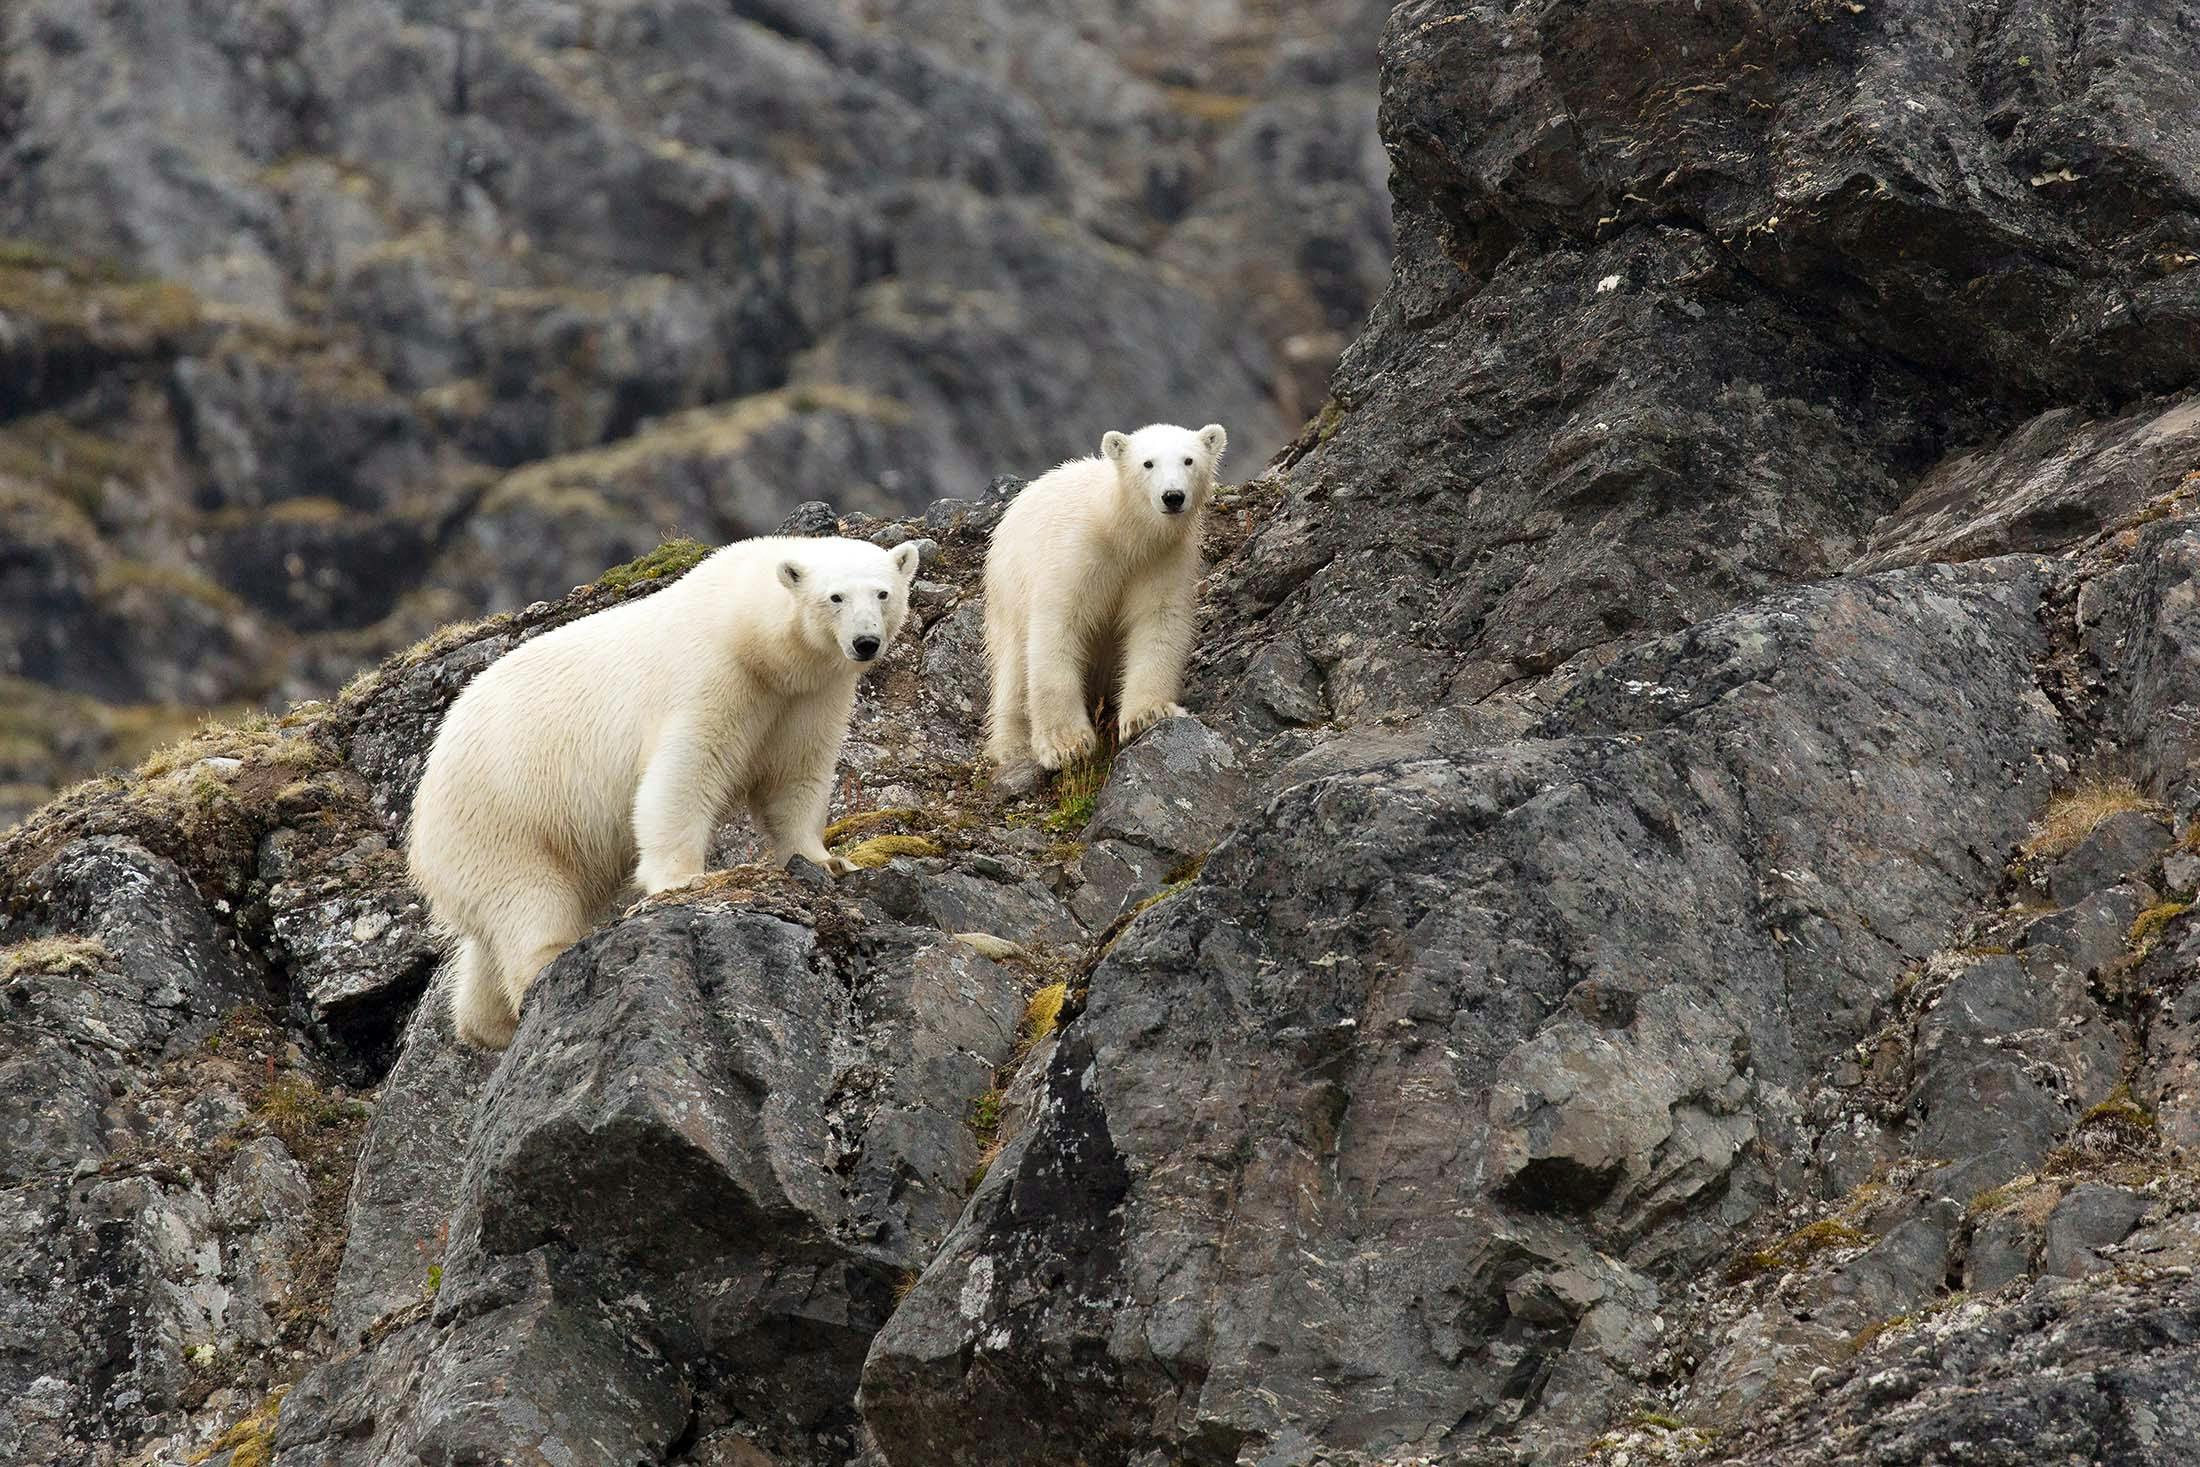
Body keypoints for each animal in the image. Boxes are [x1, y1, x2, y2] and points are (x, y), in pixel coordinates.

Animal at [409, 534, 915, 1051]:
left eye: (882, 593)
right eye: (835, 597)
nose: (866, 642)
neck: (749, 633)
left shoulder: (809, 697)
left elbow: (797, 776)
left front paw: (827, 860)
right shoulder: (712, 677)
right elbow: (685, 771)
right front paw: (684, 880)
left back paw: (483, 1023)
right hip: (503, 813)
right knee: (528, 898)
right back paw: (546, 966)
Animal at [990, 424, 1232, 791]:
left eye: (1189, 460)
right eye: (1147, 463)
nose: (1173, 496)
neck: (1121, 529)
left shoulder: (1161, 559)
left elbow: (1157, 621)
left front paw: (1148, 713)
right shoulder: (1077, 552)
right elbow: (1058, 625)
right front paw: (1066, 745)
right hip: (1009, 586)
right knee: (1014, 667)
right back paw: (1011, 745)